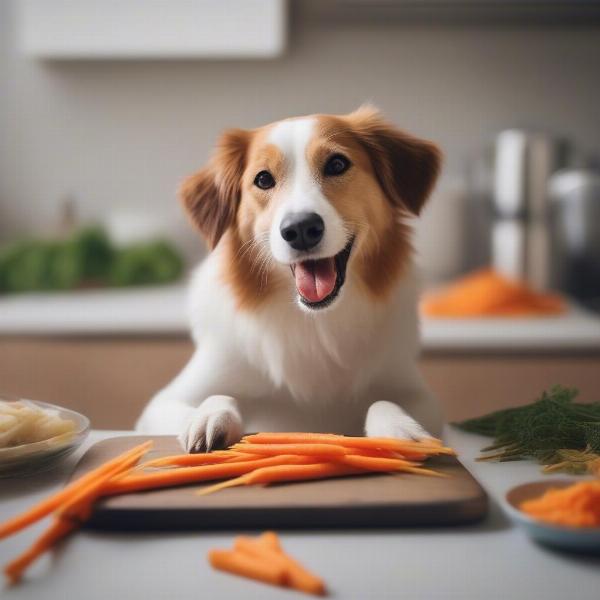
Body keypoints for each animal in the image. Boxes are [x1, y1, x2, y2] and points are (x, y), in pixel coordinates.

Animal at [137, 106, 446, 450]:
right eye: (263, 179)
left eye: (337, 164)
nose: (300, 229)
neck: (314, 323)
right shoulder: (165, 402)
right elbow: (217, 396)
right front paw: (209, 417)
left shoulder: (419, 395)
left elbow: (383, 402)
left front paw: (400, 429)